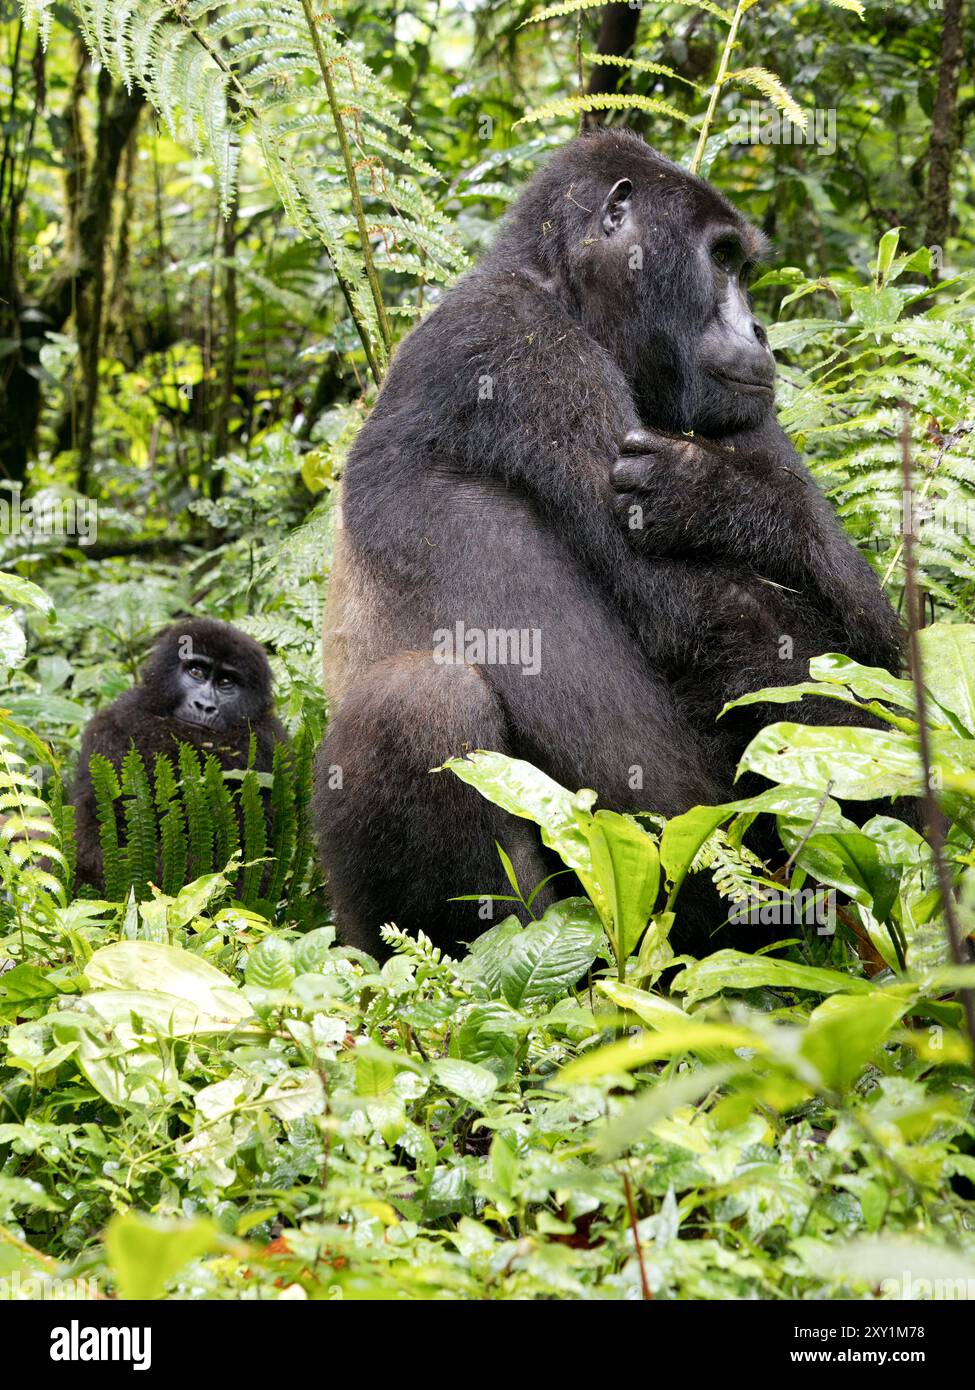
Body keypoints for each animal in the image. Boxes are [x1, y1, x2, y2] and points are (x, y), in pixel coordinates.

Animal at [73, 619, 285, 889]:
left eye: (226, 682)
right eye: (196, 672)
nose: (204, 706)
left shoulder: (268, 742)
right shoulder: (111, 724)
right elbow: (94, 835)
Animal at [315, 127, 901, 956]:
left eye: (743, 267)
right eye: (721, 260)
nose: (757, 331)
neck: (556, 282)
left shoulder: (732, 405)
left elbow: (872, 640)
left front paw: (732, 500)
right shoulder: (521, 350)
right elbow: (705, 612)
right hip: (373, 934)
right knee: (421, 702)